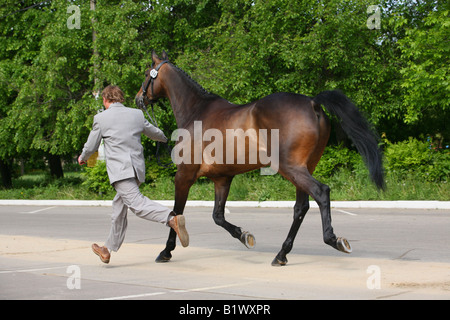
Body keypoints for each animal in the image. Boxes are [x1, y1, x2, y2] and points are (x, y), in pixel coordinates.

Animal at [135, 50, 384, 264]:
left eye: (147, 74)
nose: (139, 99)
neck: (197, 111)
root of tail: (313, 102)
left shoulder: (184, 175)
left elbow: (176, 213)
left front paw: (166, 251)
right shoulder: (222, 179)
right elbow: (217, 216)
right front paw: (244, 236)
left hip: (291, 168)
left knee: (321, 192)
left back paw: (333, 240)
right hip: (305, 167)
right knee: (301, 207)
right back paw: (281, 254)